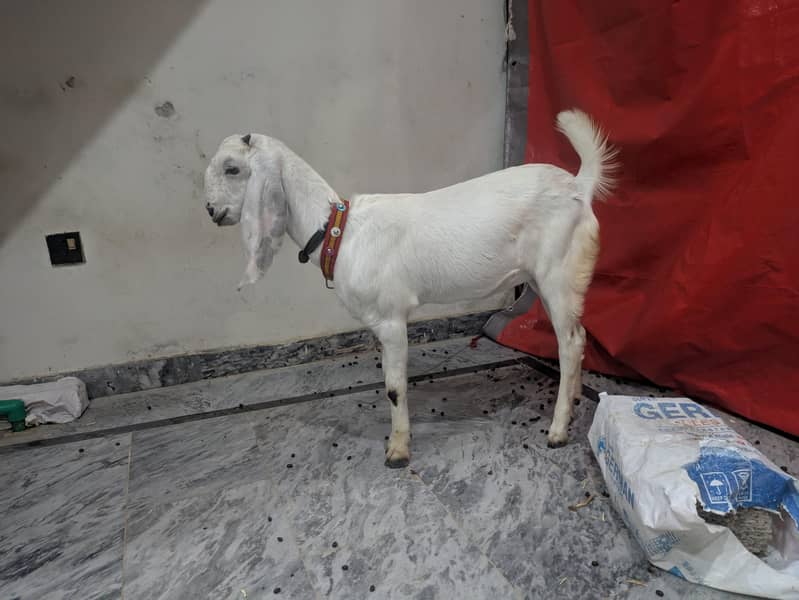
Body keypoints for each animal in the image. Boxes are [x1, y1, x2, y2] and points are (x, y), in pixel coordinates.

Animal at [204, 110, 617, 468]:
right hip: (541, 278)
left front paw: (398, 451)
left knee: (570, 342)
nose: (211, 211)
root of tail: (579, 186)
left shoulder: (391, 318)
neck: (339, 230)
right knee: (577, 338)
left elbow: (394, 388)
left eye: (232, 168)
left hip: (558, 272)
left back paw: (558, 429)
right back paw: (574, 397)